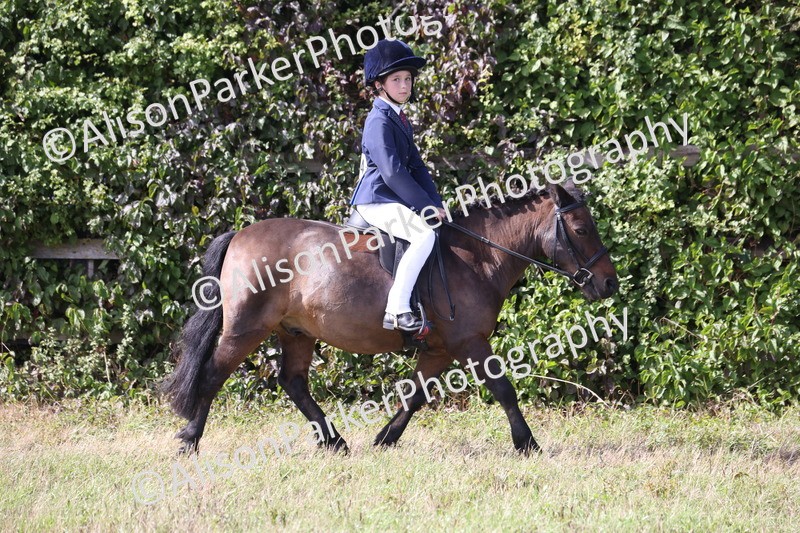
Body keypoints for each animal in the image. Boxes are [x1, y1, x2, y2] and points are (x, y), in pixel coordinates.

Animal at [162, 180, 618, 455]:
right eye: (580, 229)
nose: (609, 283)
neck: (478, 257)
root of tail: (239, 234)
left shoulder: (438, 349)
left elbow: (414, 395)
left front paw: (385, 438)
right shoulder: (470, 342)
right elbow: (504, 389)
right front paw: (528, 444)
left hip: (296, 332)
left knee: (293, 382)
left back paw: (335, 442)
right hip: (245, 328)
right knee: (213, 374)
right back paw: (189, 441)